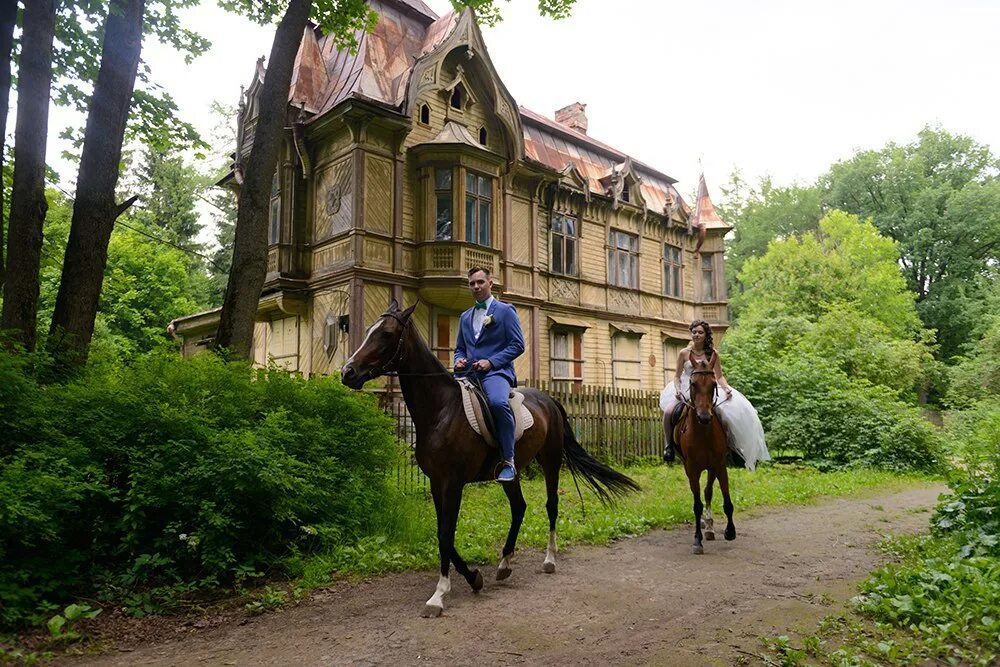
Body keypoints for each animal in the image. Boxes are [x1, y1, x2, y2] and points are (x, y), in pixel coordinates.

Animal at [342, 300, 640, 620]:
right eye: (370, 330)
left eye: (386, 334)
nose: (348, 372)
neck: (441, 410)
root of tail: (550, 400)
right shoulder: (436, 482)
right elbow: (442, 532)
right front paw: (473, 577)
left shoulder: (453, 483)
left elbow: (446, 534)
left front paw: (439, 594)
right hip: (509, 473)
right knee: (519, 507)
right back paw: (504, 564)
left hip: (550, 461)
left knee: (551, 506)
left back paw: (549, 559)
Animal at [672, 358, 736, 556]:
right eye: (693, 384)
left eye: (714, 384)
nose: (704, 417)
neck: (703, 433)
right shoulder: (692, 469)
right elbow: (697, 505)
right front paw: (697, 541)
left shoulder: (719, 465)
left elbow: (726, 500)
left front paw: (730, 531)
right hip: (689, 468)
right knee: (699, 495)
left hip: (711, 468)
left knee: (708, 492)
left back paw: (709, 527)